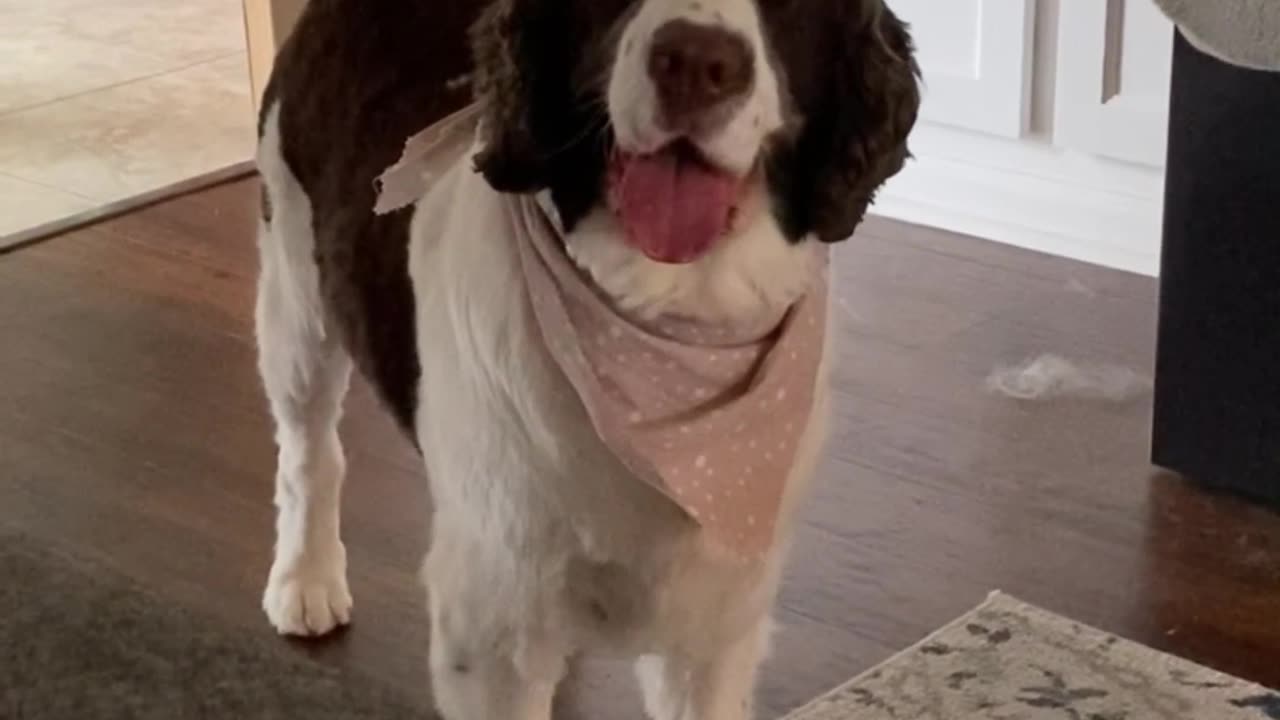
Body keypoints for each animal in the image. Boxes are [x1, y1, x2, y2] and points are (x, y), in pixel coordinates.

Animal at [257, 1, 921, 717]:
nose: (695, 62)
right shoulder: (491, 623)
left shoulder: (715, 625)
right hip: (295, 291)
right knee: (308, 451)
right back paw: (305, 578)